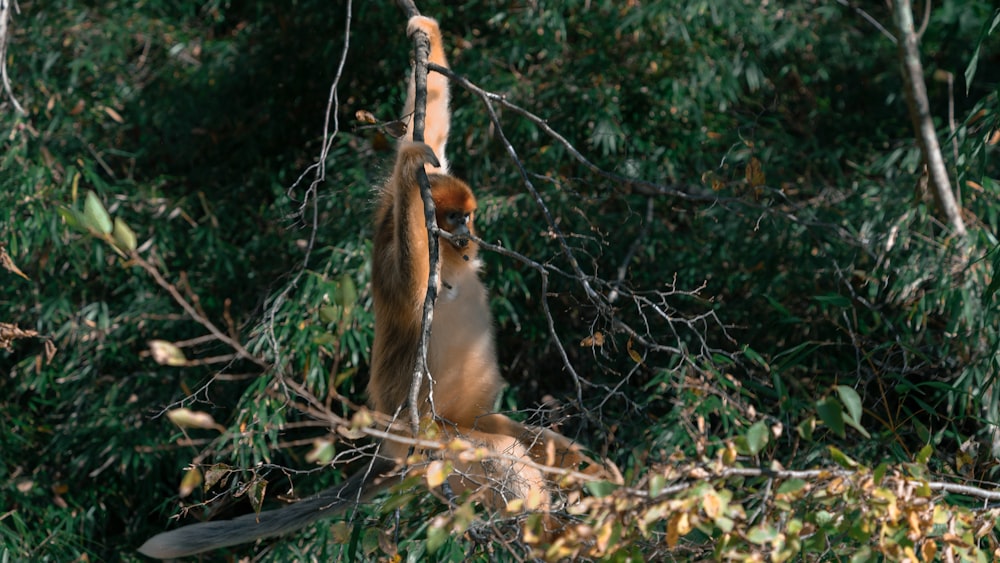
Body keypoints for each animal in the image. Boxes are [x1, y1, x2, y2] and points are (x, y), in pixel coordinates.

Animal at [139, 14, 608, 560]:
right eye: (456, 220)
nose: (469, 236)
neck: (450, 260)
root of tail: (397, 450)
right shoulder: (401, 256)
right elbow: (405, 275)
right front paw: (407, 172)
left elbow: (430, 121)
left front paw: (423, 32)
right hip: (443, 447)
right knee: (505, 459)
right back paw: (553, 533)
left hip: (468, 426)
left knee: (539, 445)